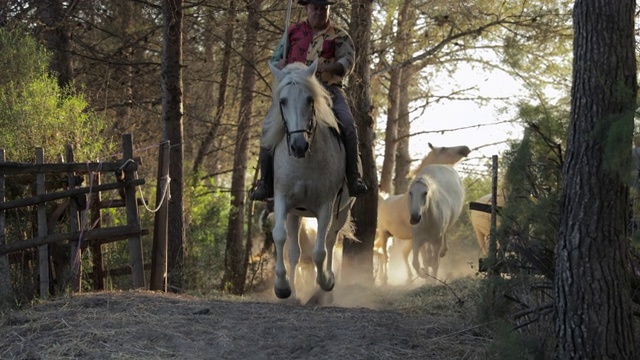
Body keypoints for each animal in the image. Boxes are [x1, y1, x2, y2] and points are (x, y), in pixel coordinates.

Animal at [262, 60, 358, 300]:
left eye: (309, 99)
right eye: (283, 101)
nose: (298, 145)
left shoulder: (326, 206)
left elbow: (320, 251)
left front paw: (324, 283)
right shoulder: (283, 200)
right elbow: (280, 237)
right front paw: (283, 287)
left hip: (343, 211)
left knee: (331, 241)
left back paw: (327, 286)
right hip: (295, 214)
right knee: (294, 252)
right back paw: (295, 293)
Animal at [376, 143, 470, 284]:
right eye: (443, 149)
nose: (465, 149)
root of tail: (383, 201)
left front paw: (439, 255)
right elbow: (425, 258)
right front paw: (428, 275)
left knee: (400, 254)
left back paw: (408, 277)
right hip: (384, 234)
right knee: (385, 256)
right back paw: (385, 280)